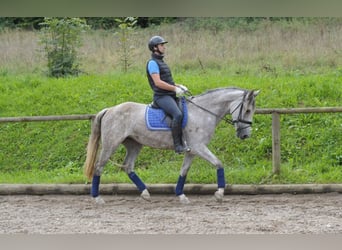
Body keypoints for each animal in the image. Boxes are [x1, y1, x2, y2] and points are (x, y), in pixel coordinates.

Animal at [83, 87, 260, 204]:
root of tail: (109, 110)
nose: (245, 135)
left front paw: (181, 195)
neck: (203, 112)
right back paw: (97, 198)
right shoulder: (199, 147)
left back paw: (145, 193)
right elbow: (218, 163)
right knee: (99, 167)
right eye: (247, 110)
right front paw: (220, 193)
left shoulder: (192, 151)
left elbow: (184, 171)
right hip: (111, 144)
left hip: (134, 144)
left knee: (128, 166)